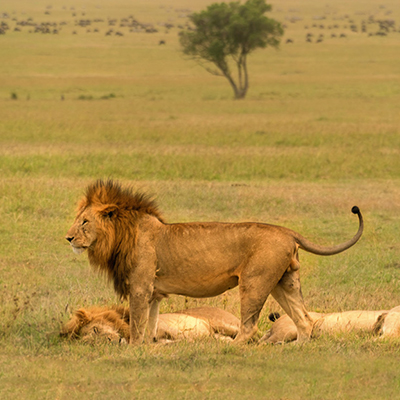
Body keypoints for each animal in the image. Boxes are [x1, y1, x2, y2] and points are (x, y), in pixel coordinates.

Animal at [67, 180, 364, 344]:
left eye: (85, 222)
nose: (68, 237)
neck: (121, 235)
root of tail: (287, 231)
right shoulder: (153, 293)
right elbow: (150, 324)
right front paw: (149, 348)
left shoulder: (140, 288)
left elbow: (137, 326)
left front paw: (132, 350)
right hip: (284, 281)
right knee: (304, 319)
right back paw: (298, 347)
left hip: (255, 282)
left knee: (249, 326)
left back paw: (228, 347)